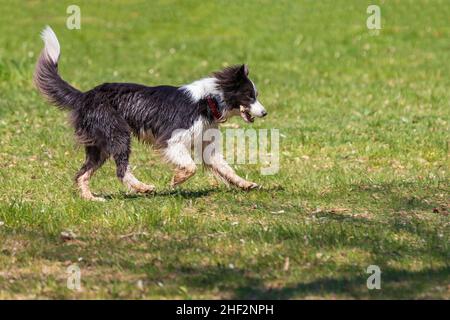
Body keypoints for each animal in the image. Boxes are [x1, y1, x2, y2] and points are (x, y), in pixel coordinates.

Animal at [35, 28, 268, 202]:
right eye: (249, 96)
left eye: (256, 95)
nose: (265, 113)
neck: (209, 100)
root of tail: (85, 95)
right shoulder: (172, 140)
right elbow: (190, 167)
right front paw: (176, 179)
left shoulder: (206, 145)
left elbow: (226, 168)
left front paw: (246, 184)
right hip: (118, 133)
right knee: (121, 170)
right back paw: (142, 187)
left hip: (99, 146)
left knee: (82, 174)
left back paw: (91, 199)